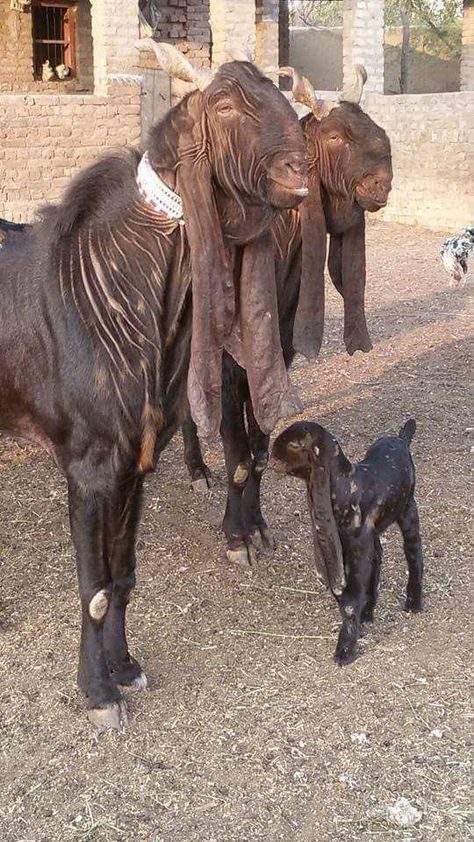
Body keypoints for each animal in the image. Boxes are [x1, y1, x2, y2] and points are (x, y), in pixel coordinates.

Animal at [0, 42, 308, 728]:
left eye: (280, 96)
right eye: (224, 105)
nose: (298, 168)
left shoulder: (134, 459)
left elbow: (122, 575)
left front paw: (124, 667)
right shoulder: (88, 461)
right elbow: (92, 588)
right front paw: (97, 693)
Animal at [183, 67, 394, 564]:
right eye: (335, 134)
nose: (384, 182)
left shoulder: (278, 352)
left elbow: (260, 452)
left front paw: (257, 526)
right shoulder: (228, 360)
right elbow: (239, 457)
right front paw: (236, 536)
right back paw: (197, 469)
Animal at [272, 418, 424, 664]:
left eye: (294, 445)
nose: (272, 456)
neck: (348, 486)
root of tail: (401, 438)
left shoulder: (356, 547)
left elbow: (350, 601)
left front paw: (345, 651)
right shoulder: (341, 549)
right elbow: (343, 594)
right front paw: (358, 626)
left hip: (408, 507)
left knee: (413, 551)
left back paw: (414, 602)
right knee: (378, 557)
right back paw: (369, 613)